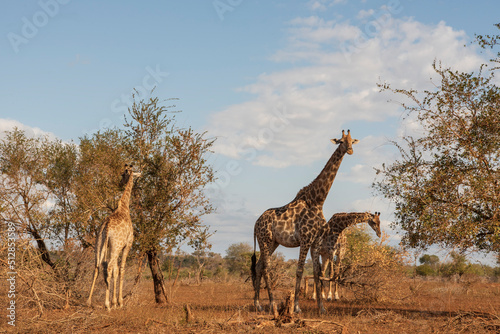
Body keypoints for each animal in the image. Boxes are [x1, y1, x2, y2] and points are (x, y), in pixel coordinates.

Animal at [86, 164, 141, 310]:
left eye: (122, 175)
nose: (120, 183)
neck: (124, 207)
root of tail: (106, 226)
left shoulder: (112, 246)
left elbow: (116, 271)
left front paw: (114, 302)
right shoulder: (127, 244)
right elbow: (121, 269)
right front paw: (119, 302)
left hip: (100, 243)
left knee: (97, 266)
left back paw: (88, 301)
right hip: (116, 245)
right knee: (109, 267)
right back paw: (107, 305)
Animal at [252, 129, 358, 314]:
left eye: (352, 141)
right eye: (341, 141)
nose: (350, 150)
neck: (317, 201)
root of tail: (256, 223)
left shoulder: (316, 242)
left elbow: (317, 272)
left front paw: (322, 308)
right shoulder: (305, 239)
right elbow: (300, 270)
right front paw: (296, 307)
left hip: (273, 242)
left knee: (258, 266)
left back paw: (258, 304)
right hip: (265, 240)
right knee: (265, 267)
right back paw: (271, 304)